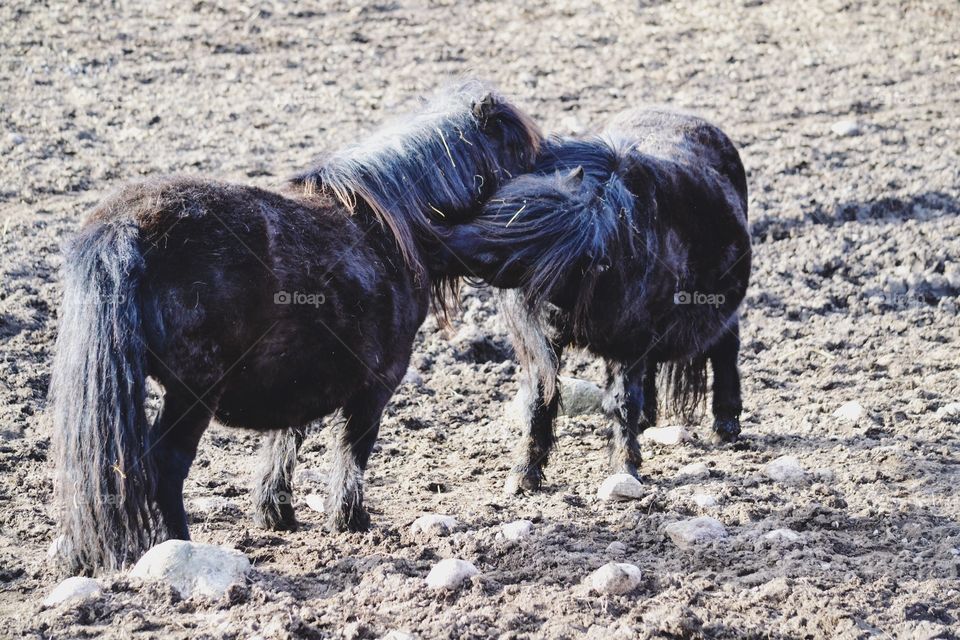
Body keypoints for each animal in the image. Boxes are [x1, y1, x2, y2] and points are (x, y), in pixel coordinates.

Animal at [50, 80, 540, 576]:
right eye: (523, 153)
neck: (393, 228)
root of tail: (125, 224)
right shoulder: (377, 384)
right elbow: (352, 449)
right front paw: (350, 519)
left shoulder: (297, 379)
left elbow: (285, 441)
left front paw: (276, 513)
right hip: (193, 393)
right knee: (165, 464)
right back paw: (179, 544)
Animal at [438, 109, 752, 490]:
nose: (441, 237)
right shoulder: (550, 341)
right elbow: (539, 399)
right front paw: (524, 474)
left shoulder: (628, 346)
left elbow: (622, 402)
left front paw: (624, 468)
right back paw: (649, 421)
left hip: (719, 314)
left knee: (725, 351)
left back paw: (726, 425)